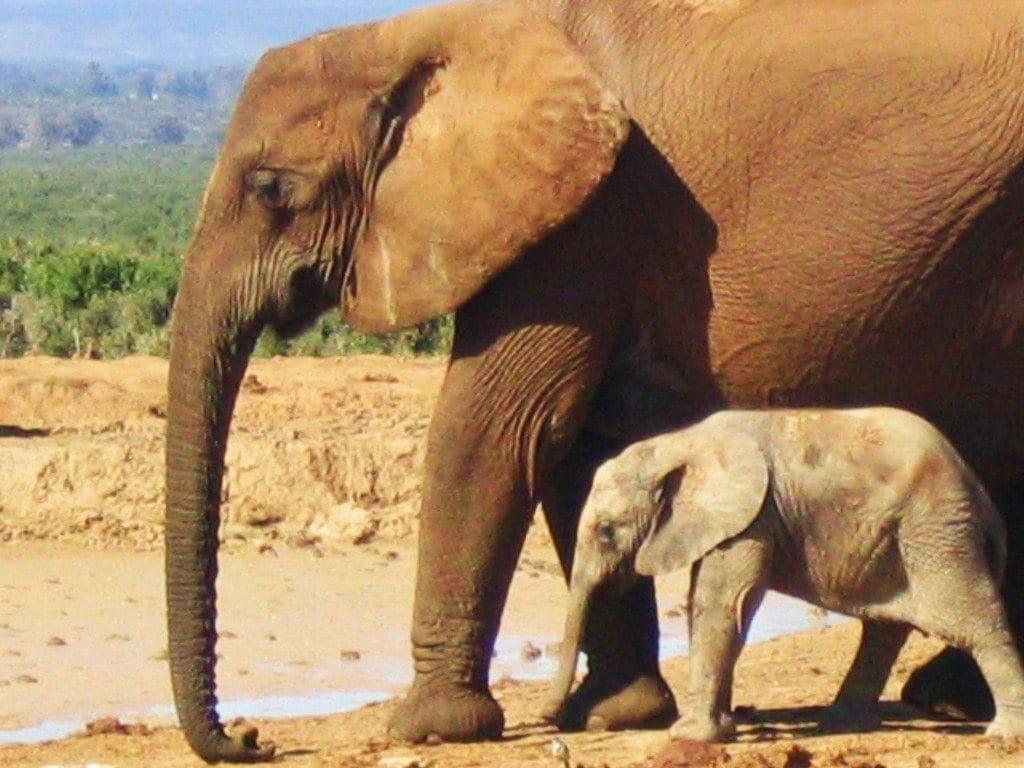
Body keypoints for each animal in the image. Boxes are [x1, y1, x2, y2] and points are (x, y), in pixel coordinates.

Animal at [548, 405, 1024, 741]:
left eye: (607, 531)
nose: (551, 718)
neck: (680, 444)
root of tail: (979, 493)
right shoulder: (748, 517)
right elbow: (731, 607)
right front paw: (721, 728)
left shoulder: (753, 514)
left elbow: (720, 603)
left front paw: (690, 735)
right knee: (884, 630)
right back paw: (838, 724)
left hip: (936, 533)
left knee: (973, 625)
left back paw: (1004, 734)